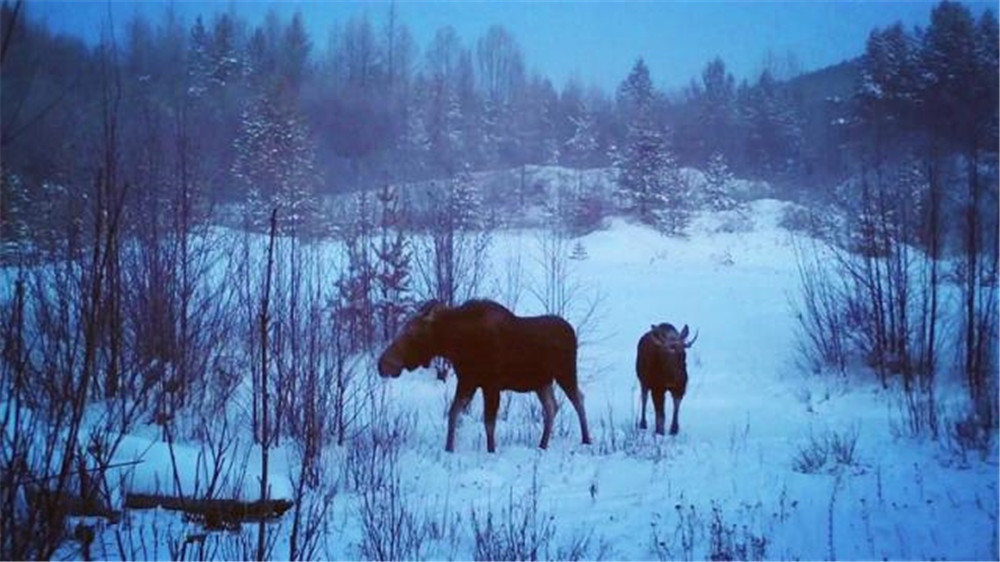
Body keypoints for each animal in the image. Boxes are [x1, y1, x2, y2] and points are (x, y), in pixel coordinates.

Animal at [378, 298, 588, 450]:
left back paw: (586, 439)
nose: (382, 364)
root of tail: (571, 330)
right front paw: (449, 448)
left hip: (566, 373)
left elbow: (488, 423)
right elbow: (453, 413)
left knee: (578, 399)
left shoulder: (491, 385)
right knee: (552, 407)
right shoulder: (467, 382)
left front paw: (491, 450)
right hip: (542, 382)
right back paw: (542, 444)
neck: (455, 344)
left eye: (412, 334)